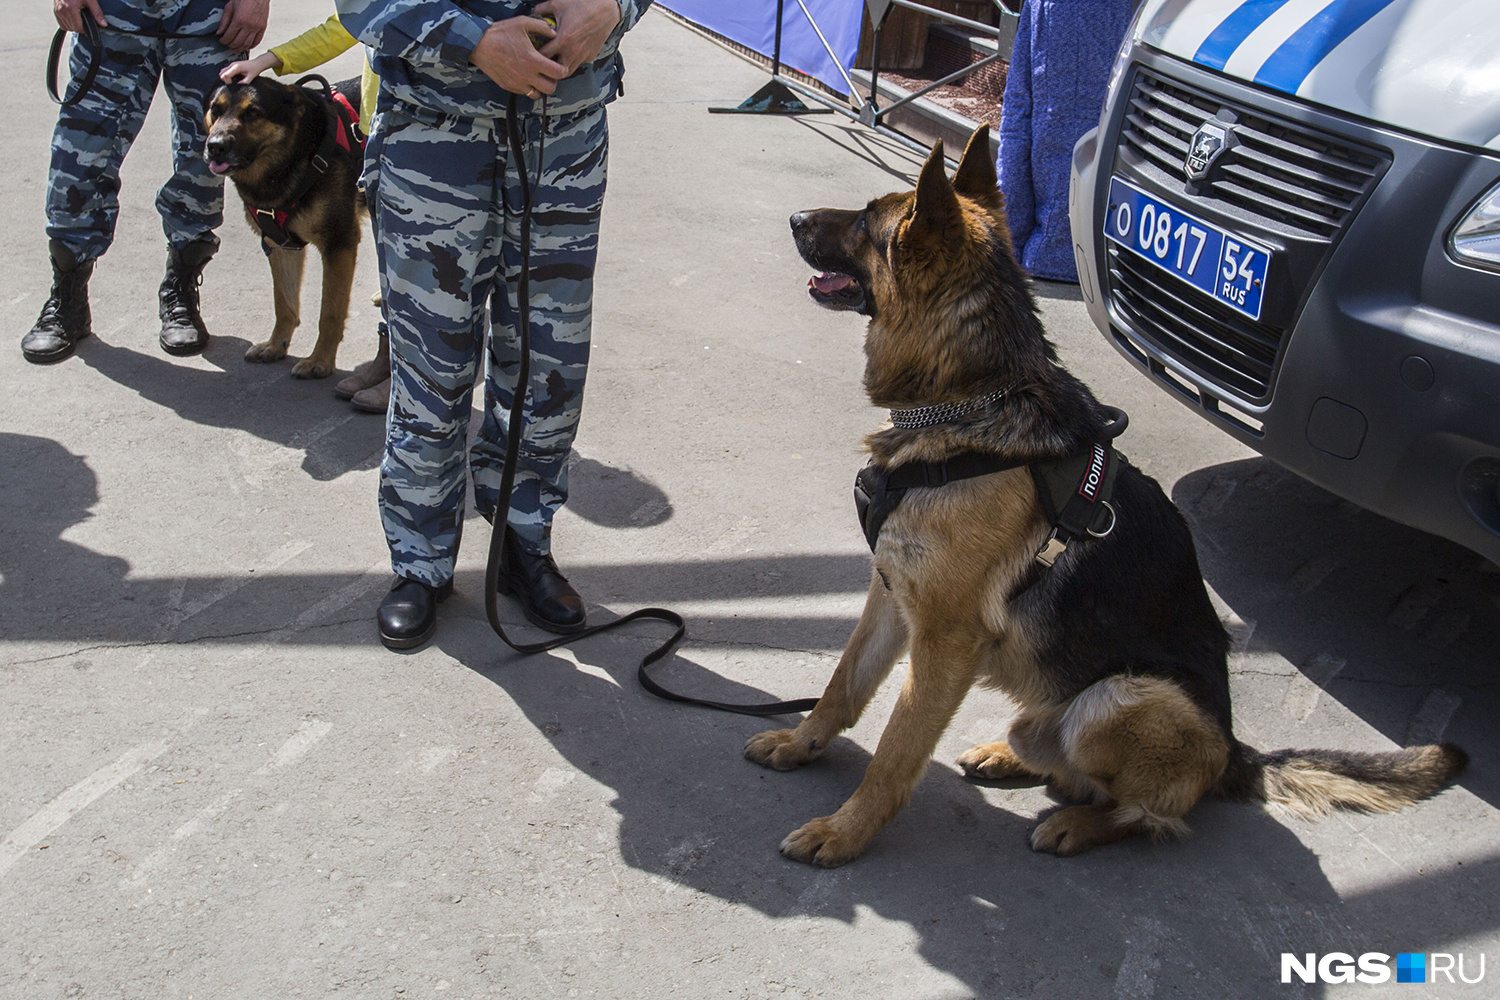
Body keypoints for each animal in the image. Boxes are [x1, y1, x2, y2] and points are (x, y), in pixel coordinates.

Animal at [204, 78, 364, 379]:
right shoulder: (280, 244)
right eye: (215, 110)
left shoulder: (339, 244)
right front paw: (276, 345)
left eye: (252, 113)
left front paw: (320, 360)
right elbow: (284, 303)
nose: (215, 147)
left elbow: (330, 312)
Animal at [750, 127, 1464, 869]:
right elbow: (843, 683)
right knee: (1066, 764)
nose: (795, 218)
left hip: (1119, 699)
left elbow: (894, 752)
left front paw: (845, 831)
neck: (973, 399)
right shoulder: (890, 595)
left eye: (865, 222)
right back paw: (1012, 756)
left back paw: (1079, 824)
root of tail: (1234, 753)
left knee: (1149, 813)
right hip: (1059, 709)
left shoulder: (944, 642)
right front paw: (800, 743)